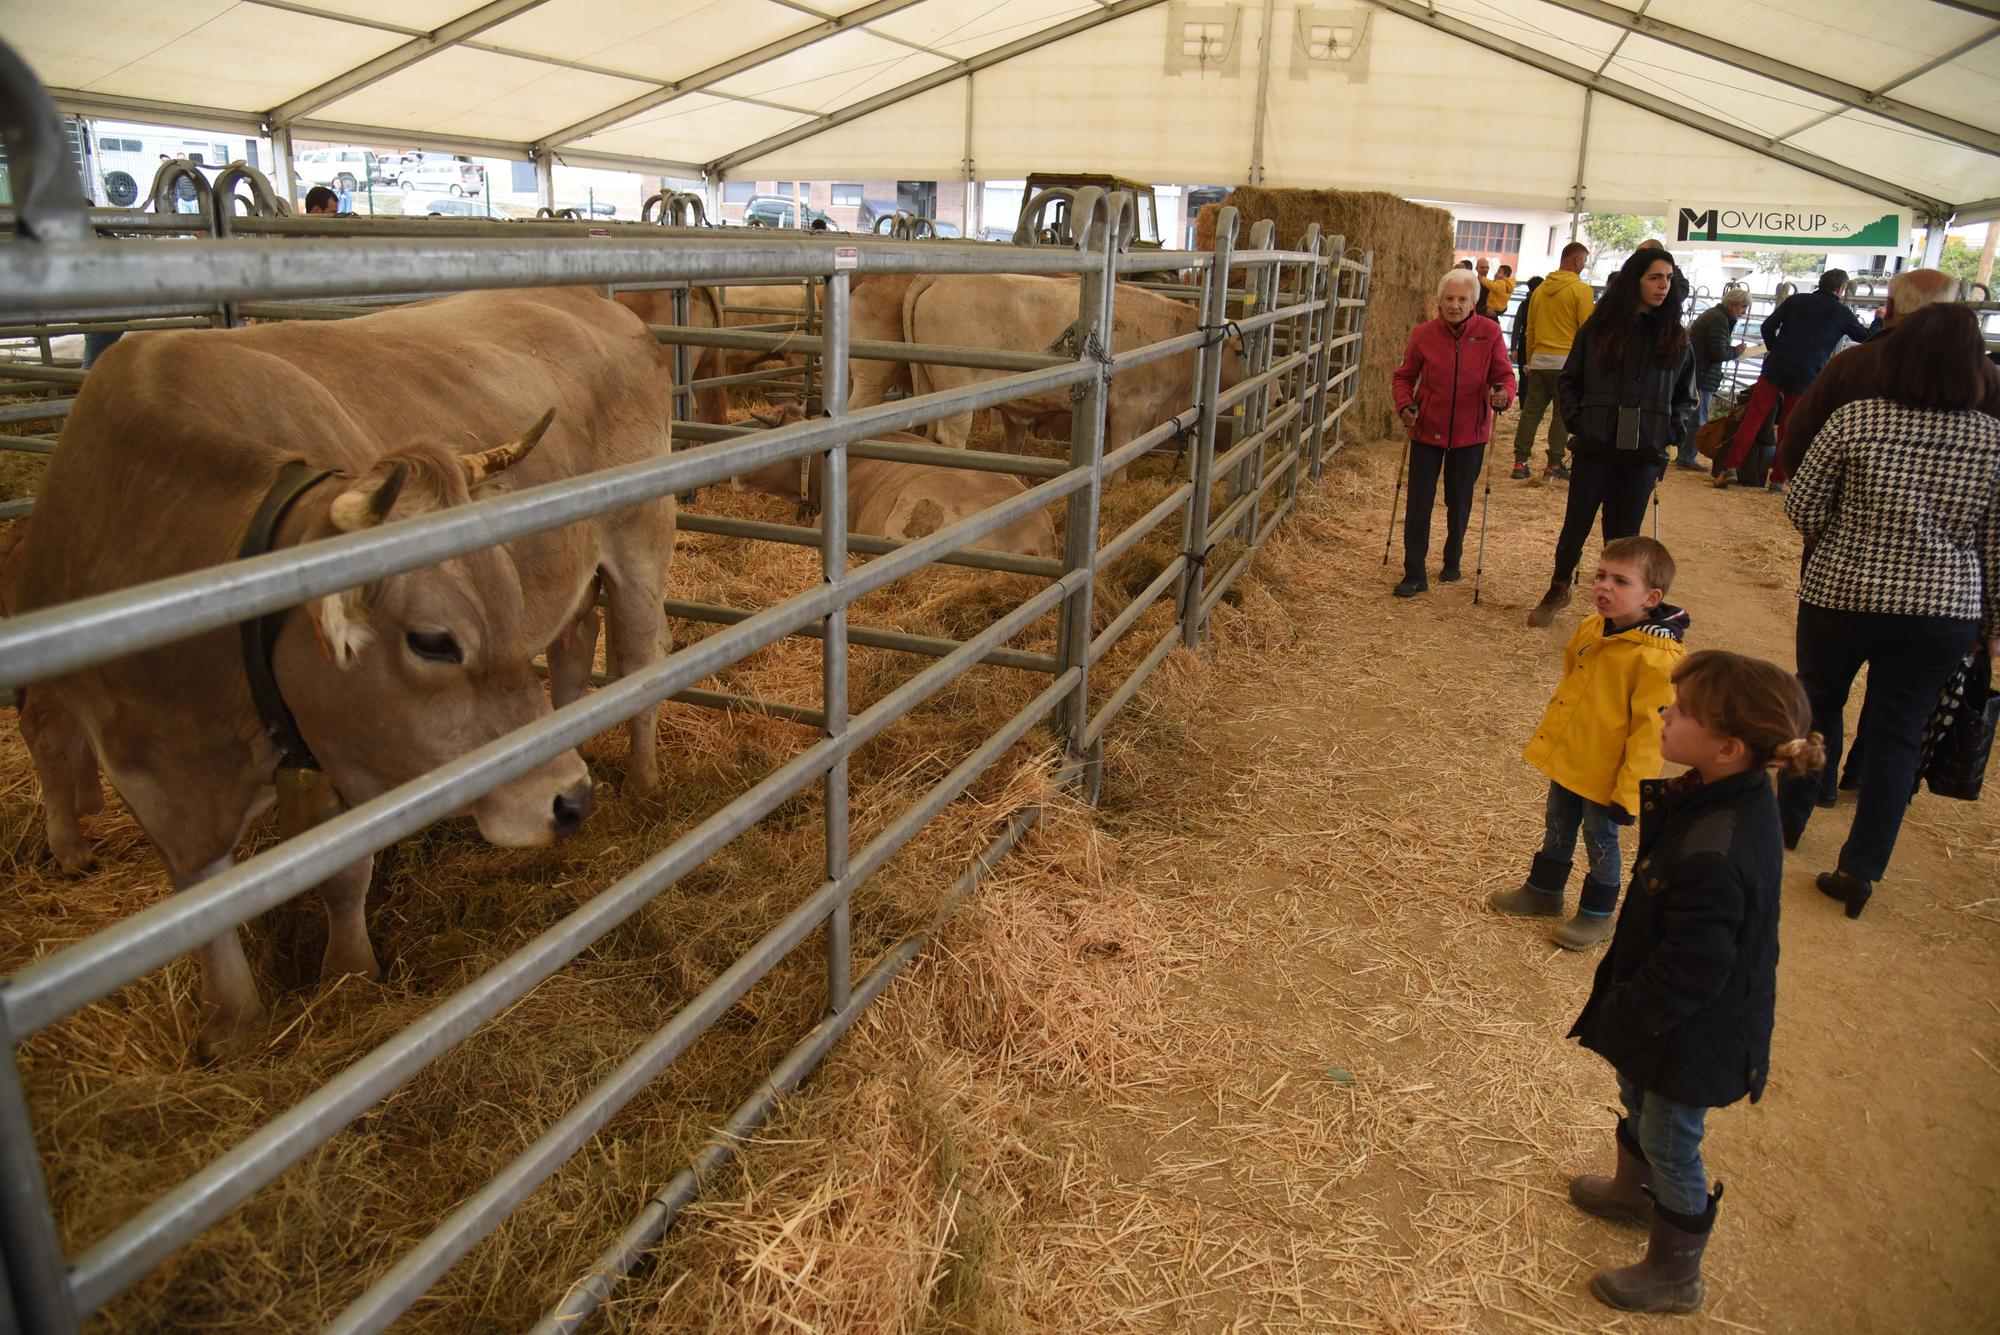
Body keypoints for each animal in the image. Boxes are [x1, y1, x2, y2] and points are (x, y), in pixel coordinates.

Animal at [5, 287, 680, 1055]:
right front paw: (232, 1020)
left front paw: (350, 972)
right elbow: (200, 901)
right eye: (433, 641)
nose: (571, 800)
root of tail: (593, 301)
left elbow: (345, 871)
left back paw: (643, 781)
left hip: (640, 548)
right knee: (573, 648)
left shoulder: (344, 750)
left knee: (641, 665)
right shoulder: (144, 766)